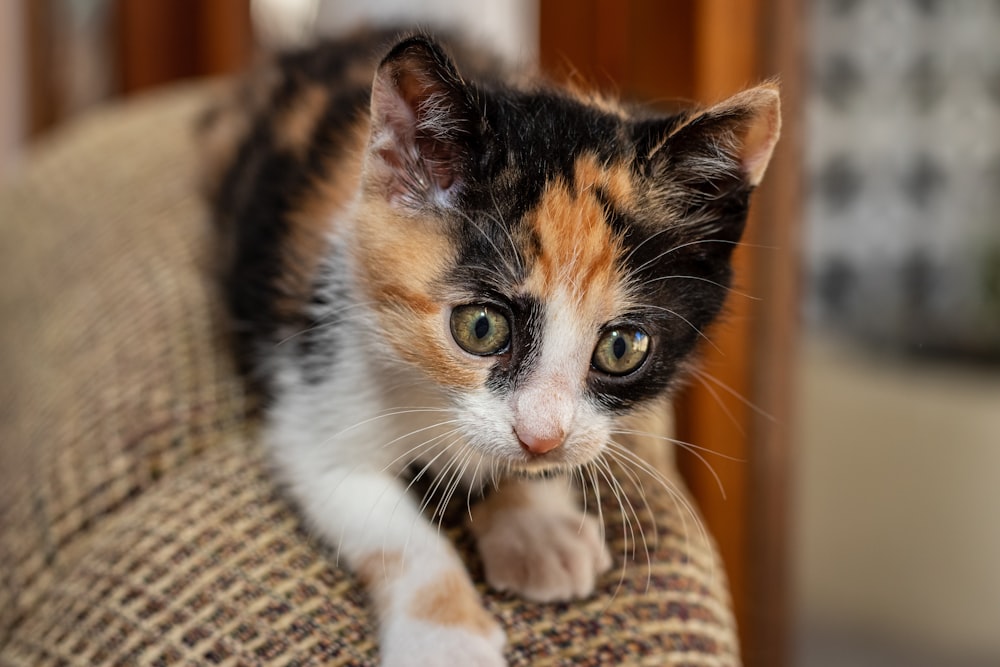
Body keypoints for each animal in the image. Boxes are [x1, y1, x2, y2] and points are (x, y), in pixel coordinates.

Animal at [201, 30, 780, 667]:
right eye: (480, 328)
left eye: (623, 347)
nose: (541, 436)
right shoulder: (320, 387)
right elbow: (393, 532)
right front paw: (444, 640)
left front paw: (536, 525)